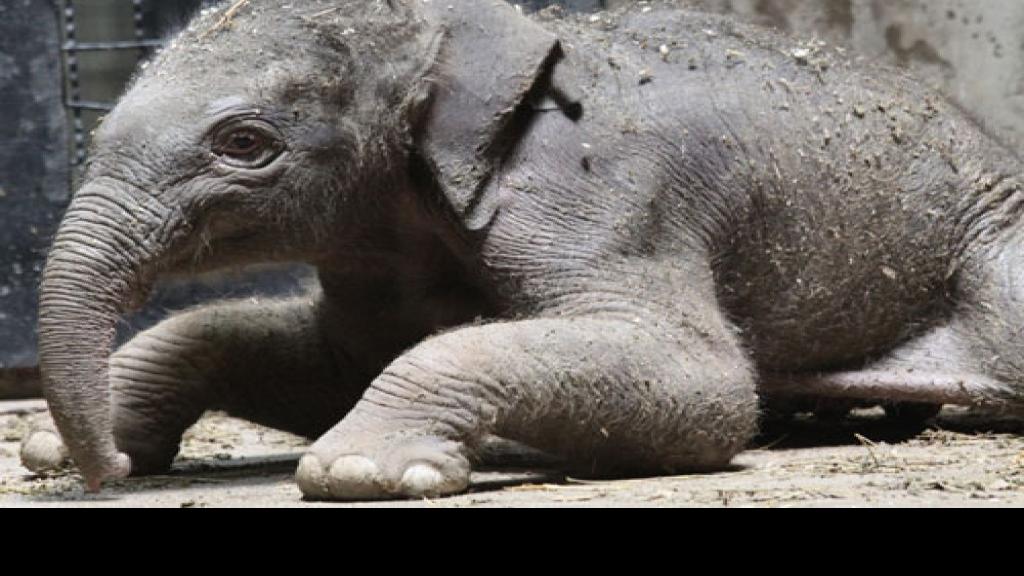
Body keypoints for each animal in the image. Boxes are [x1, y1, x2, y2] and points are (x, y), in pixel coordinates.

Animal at [19, 0, 1024, 501]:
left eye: (244, 143)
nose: (105, 477)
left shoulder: (601, 190)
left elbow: (700, 381)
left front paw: (364, 472)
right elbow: (334, 362)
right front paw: (59, 449)